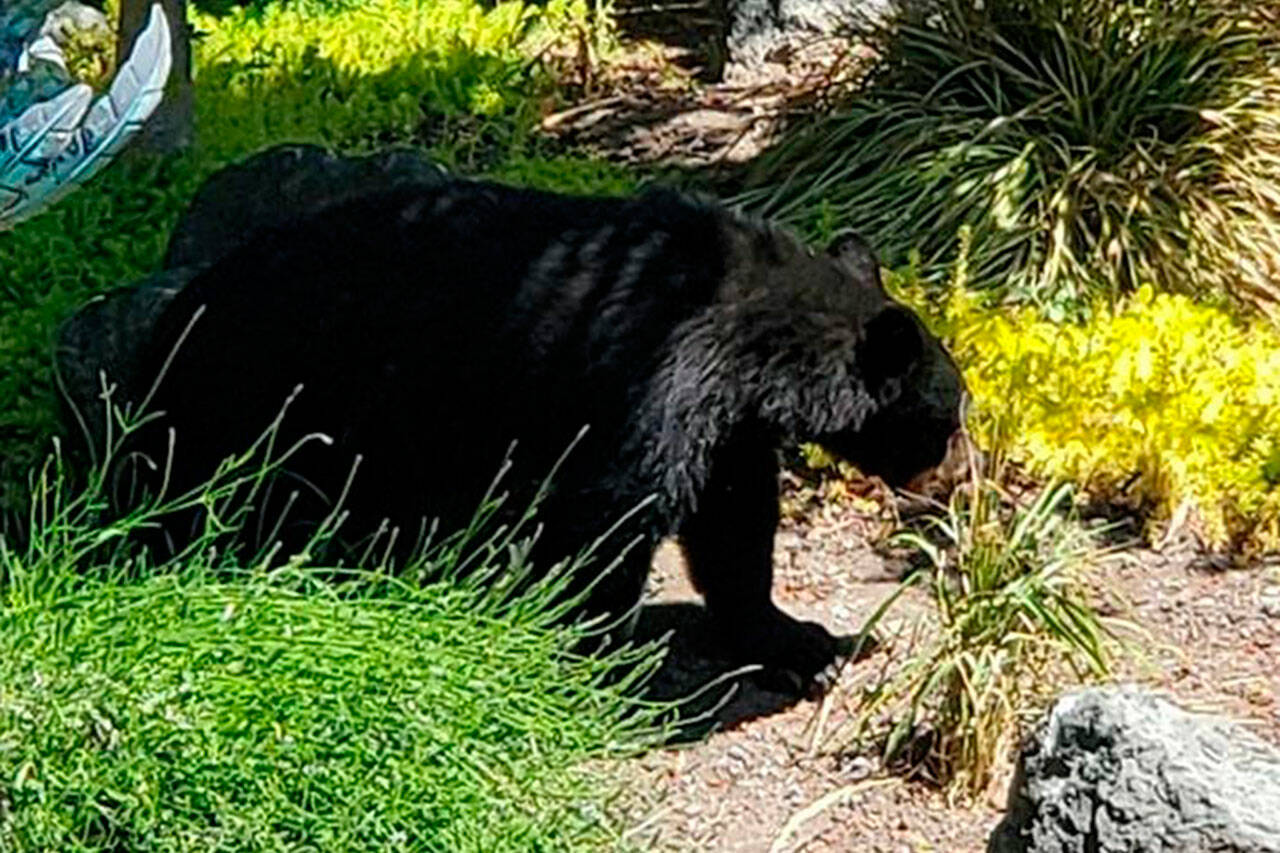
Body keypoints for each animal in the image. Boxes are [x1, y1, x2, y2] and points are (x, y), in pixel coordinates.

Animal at [55, 146, 962, 686]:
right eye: (952, 417)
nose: (951, 478)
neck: (752, 331)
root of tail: (176, 323)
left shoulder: (729, 425)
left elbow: (734, 523)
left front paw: (795, 640)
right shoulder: (652, 379)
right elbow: (608, 517)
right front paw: (599, 650)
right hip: (270, 402)